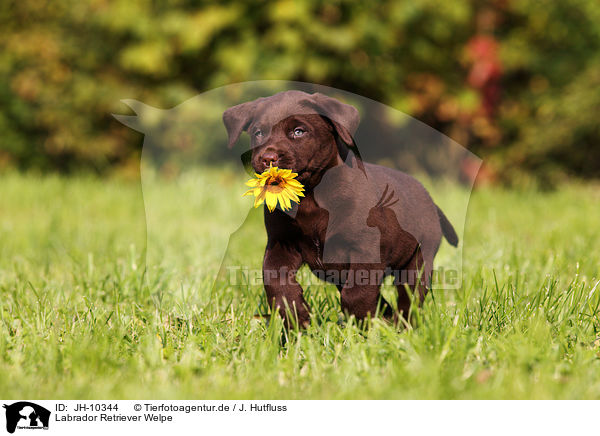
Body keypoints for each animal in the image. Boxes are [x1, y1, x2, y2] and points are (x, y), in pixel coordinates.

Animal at [223, 91, 458, 328]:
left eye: (298, 131)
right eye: (258, 133)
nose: (267, 158)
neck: (311, 196)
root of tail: (432, 202)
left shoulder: (366, 249)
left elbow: (356, 294)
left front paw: (363, 325)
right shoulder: (281, 243)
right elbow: (275, 281)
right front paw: (297, 316)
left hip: (418, 260)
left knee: (409, 299)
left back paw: (401, 327)